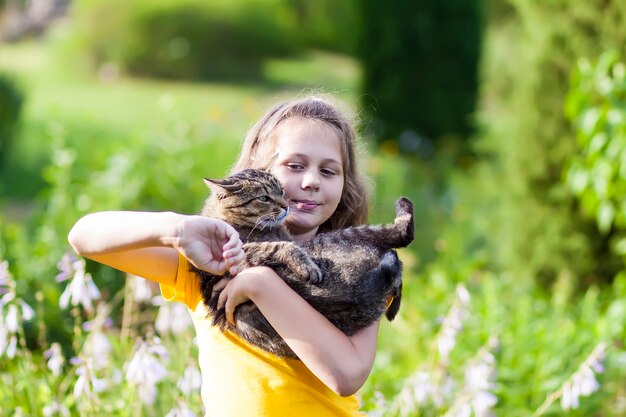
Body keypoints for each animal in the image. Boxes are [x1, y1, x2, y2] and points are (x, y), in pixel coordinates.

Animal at [197, 167, 412, 356]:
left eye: (282, 191)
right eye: (264, 198)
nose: (285, 206)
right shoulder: (240, 252)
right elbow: (282, 246)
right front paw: (307, 266)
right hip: (339, 236)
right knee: (402, 235)